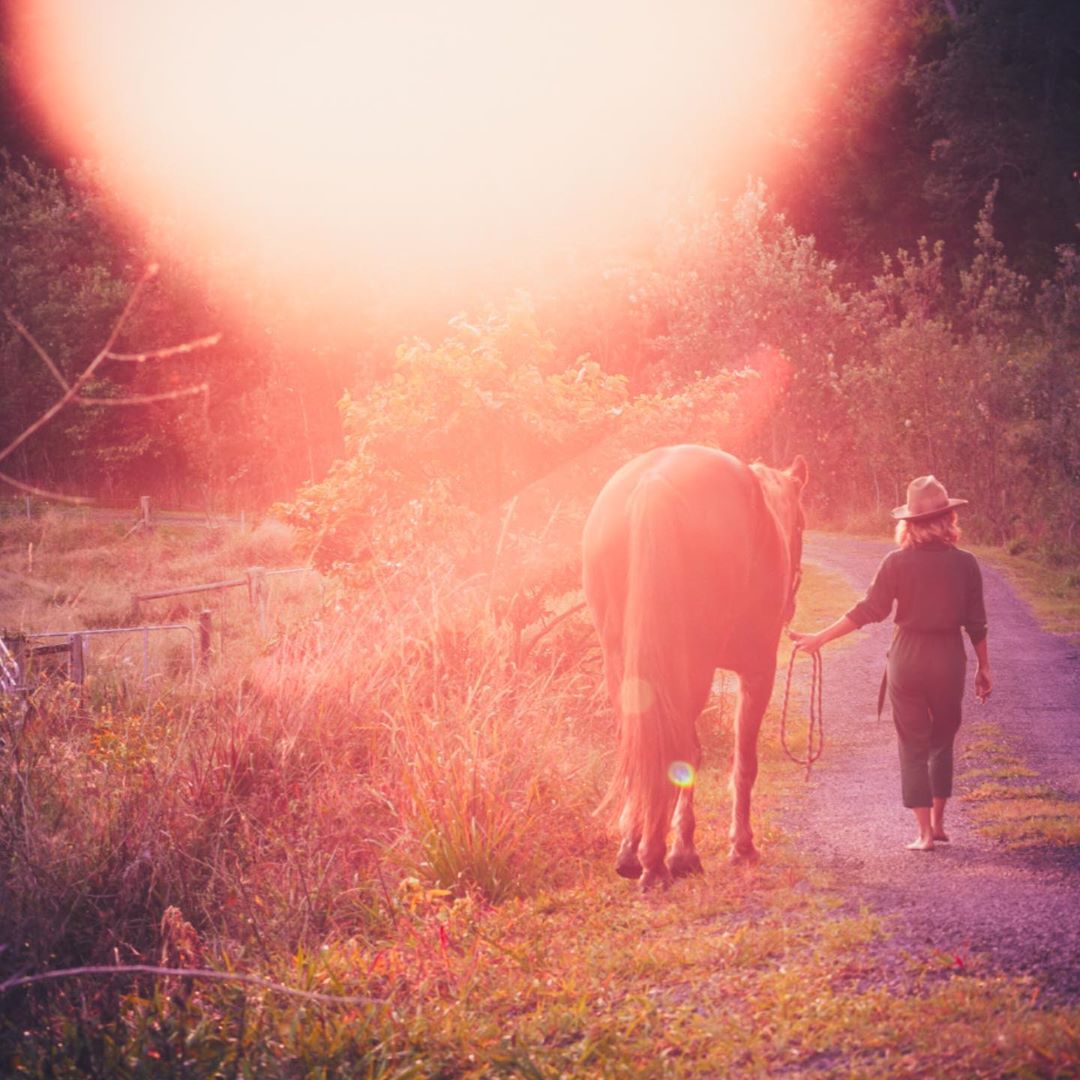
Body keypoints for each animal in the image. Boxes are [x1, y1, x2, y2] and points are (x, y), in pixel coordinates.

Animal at [583, 442, 803, 889]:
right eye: (802, 526)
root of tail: (653, 481)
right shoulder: (758, 671)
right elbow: (743, 761)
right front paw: (737, 847)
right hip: (693, 667)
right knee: (680, 751)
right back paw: (660, 859)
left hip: (623, 666)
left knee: (640, 744)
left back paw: (634, 853)